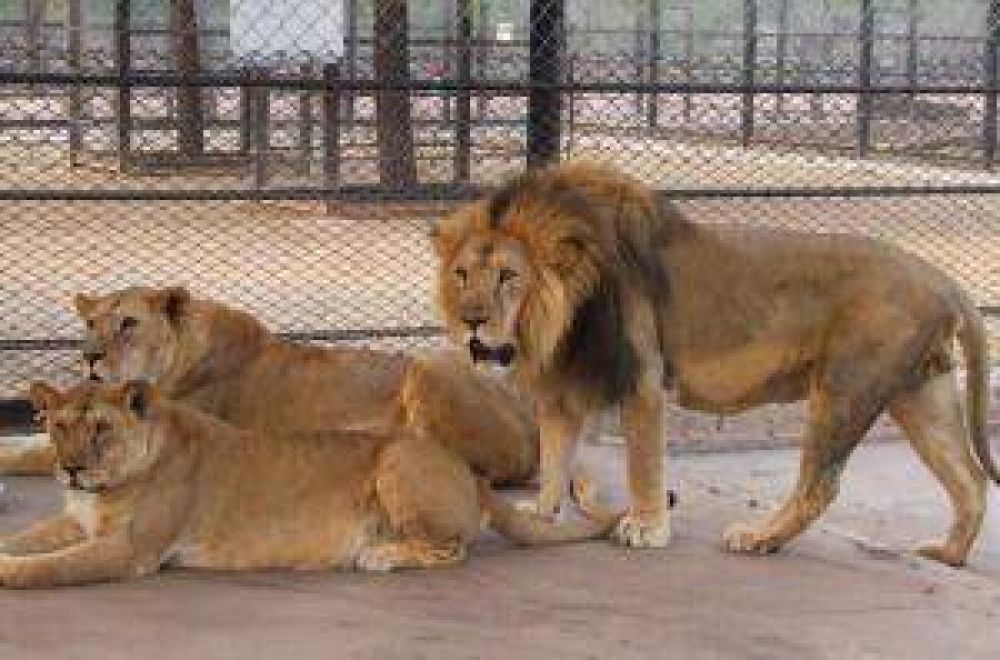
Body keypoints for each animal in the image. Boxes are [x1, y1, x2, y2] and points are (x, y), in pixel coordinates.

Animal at [0, 380, 616, 588]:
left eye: (101, 428)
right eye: (60, 427)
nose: (70, 469)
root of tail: (465, 470)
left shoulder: (131, 550)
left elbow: (45, 568)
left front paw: (10, 573)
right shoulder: (75, 520)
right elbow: (27, 539)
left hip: (397, 458)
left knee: (452, 548)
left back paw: (379, 555)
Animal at [431, 160, 999, 566]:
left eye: (508, 276)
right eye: (461, 274)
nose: (472, 321)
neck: (560, 316)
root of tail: (942, 278)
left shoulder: (641, 377)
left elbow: (642, 463)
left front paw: (646, 526)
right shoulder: (562, 386)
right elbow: (554, 458)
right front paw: (543, 513)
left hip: (844, 387)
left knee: (820, 485)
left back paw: (759, 538)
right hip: (921, 395)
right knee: (970, 479)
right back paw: (948, 554)